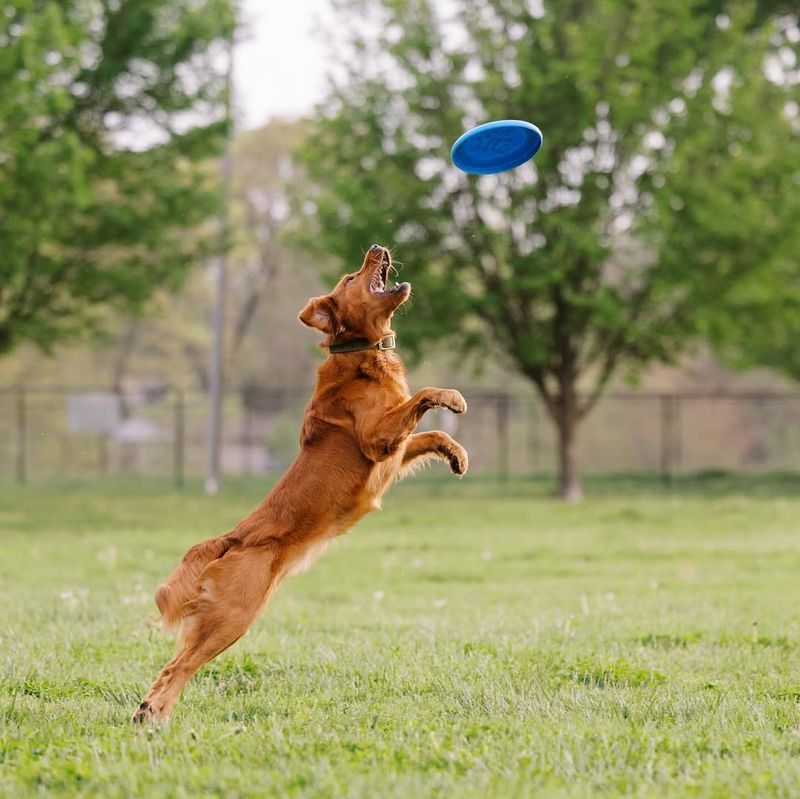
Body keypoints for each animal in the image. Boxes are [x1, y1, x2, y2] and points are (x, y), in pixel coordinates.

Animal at [134, 245, 466, 724]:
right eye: (351, 278)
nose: (377, 248)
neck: (361, 355)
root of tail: (232, 540)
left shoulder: (395, 452)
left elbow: (432, 433)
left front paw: (457, 454)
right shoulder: (377, 440)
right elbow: (422, 395)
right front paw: (452, 397)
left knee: (173, 664)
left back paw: (149, 713)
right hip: (233, 617)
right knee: (179, 666)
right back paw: (153, 713)